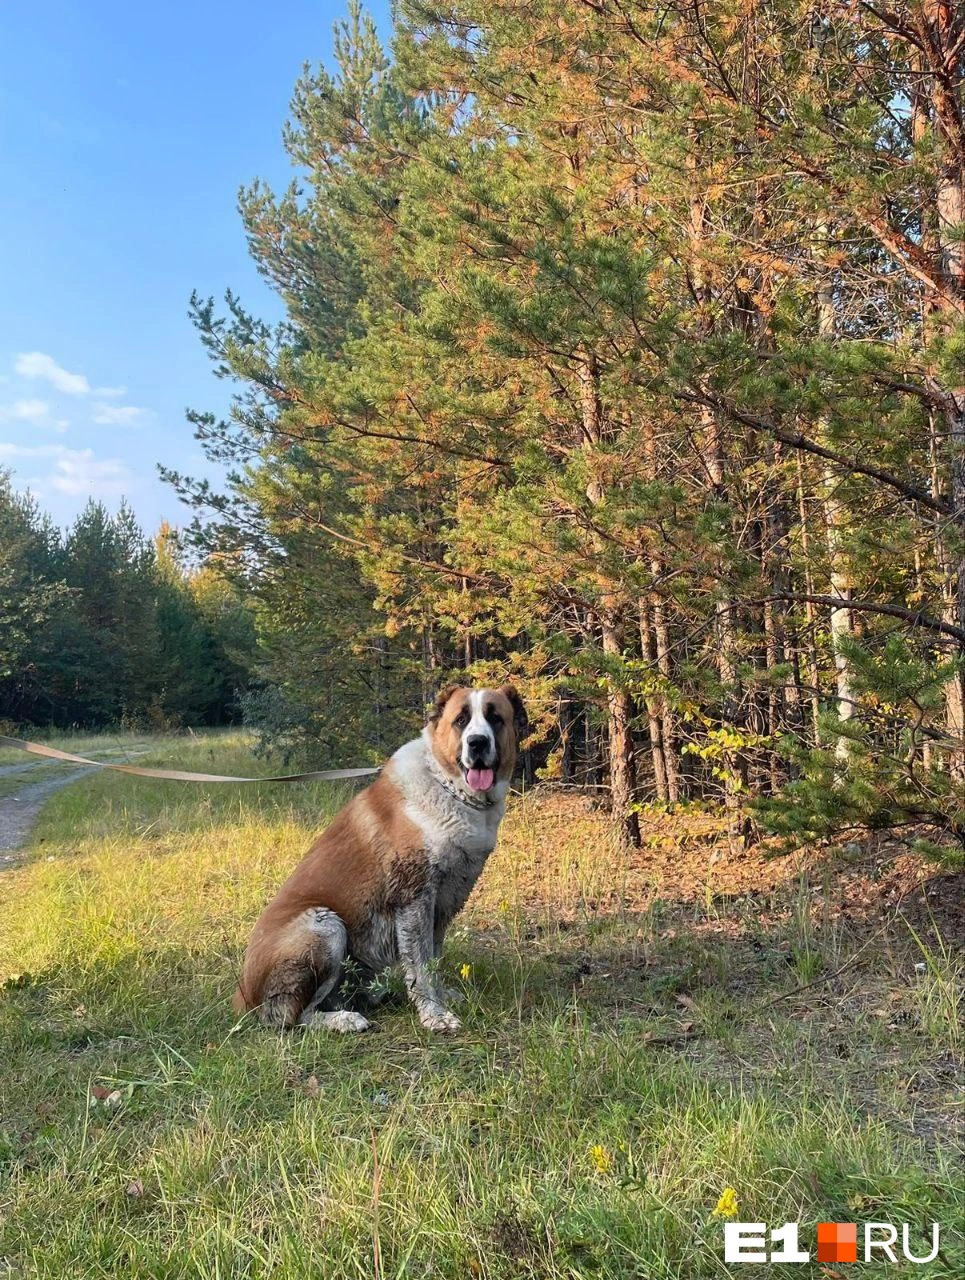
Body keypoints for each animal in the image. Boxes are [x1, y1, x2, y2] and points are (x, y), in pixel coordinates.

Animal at [231, 686, 527, 1034]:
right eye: (461, 720)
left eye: (495, 718)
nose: (477, 742)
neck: (448, 787)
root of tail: (243, 994)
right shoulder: (414, 899)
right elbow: (421, 965)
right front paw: (435, 1015)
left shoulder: (446, 901)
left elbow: (434, 957)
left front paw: (443, 998)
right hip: (324, 925)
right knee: (289, 1016)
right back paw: (344, 1020)